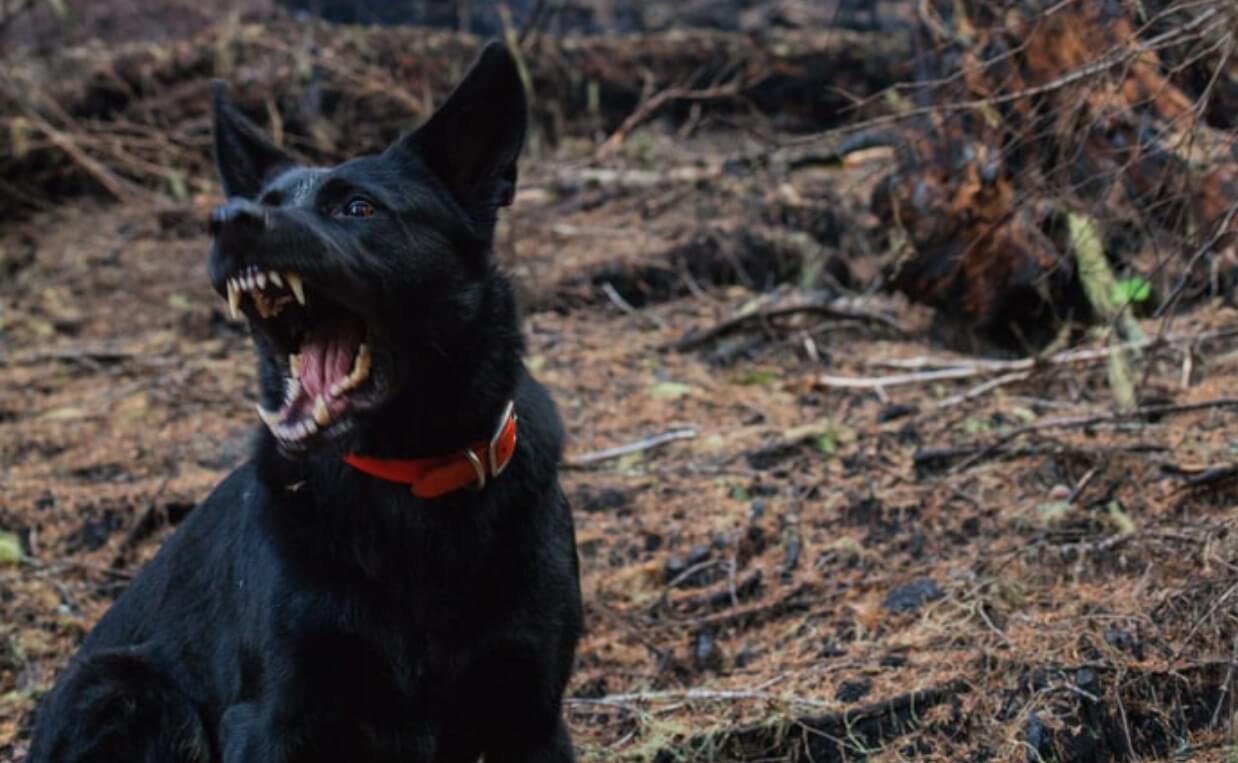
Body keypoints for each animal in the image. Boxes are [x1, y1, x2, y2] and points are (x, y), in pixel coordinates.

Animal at [31, 43, 581, 763]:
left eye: (358, 208)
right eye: (260, 202)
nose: (228, 221)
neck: (409, 482)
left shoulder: (532, 716)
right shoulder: (273, 716)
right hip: (129, 687)